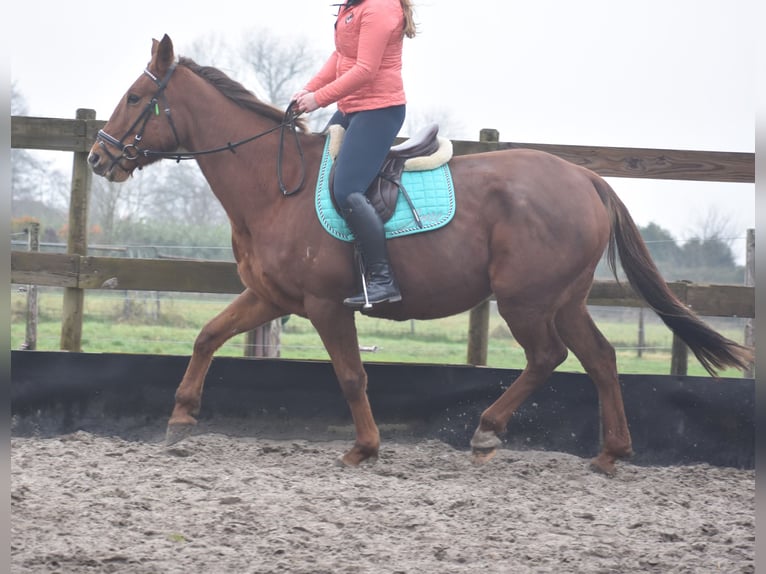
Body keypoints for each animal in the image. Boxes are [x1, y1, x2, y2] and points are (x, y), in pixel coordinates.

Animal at [88, 36, 752, 476]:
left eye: (137, 96)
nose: (98, 158)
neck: (276, 187)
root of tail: (585, 177)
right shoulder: (271, 298)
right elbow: (207, 335)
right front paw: (180, 420)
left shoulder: (327, 306)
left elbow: (351, 375)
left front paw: (364, 447)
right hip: (563, 299)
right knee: (602, 359)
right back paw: (610, 453)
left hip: (525, 300)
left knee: (548, 358)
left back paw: (488, 431)